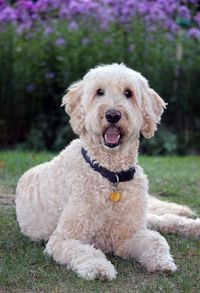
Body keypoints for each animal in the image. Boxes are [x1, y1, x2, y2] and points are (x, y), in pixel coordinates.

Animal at [16, 63, 200, 278]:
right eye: (99, 92)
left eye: (128, 93)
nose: (113, 115)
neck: (111, 174)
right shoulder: (63, 239)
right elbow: (84, 251)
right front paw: (98, 268)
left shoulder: (127, 234)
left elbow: (156, 239)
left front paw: (162, 262)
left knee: (166, 220)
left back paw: (193, 226)